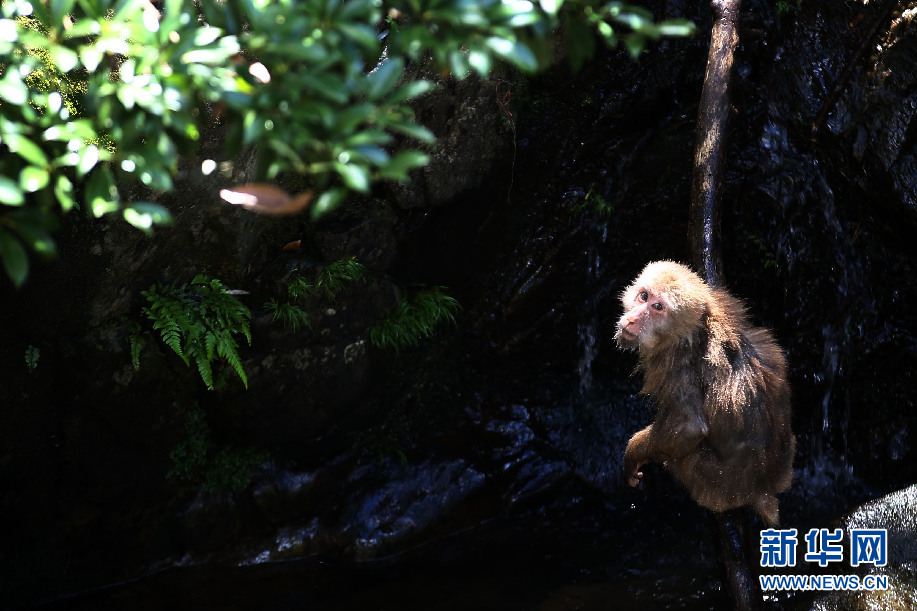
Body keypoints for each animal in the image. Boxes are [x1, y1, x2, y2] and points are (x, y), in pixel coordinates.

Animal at [616, 260, 796, 524]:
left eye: (657, 307)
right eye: (644, 296)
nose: (632, 320)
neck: (699, 324)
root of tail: (763, 486)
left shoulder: (676, 360)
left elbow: (690, 427)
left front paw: (634, 451)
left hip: (715, 485)